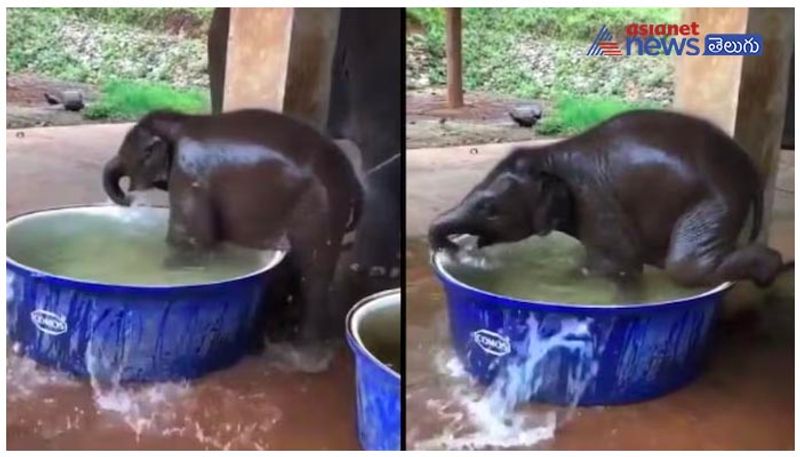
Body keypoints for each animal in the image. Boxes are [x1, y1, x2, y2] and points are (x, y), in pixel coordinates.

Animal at [103, 108, 362, 340]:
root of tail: (351, 175)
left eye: (127, 152)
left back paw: (299, 345)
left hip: (321, 206)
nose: (127, 200)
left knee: (313, 271)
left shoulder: (188, 173)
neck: (180, 120)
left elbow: (189, 238)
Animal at [428, 109, 792, 288]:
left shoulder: (596, 202)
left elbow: (616, 265)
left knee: (685, 267)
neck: (550, 155)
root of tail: (749, 168)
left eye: (489, 209)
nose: (452, 249)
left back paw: (770, 270)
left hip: (715, 201)